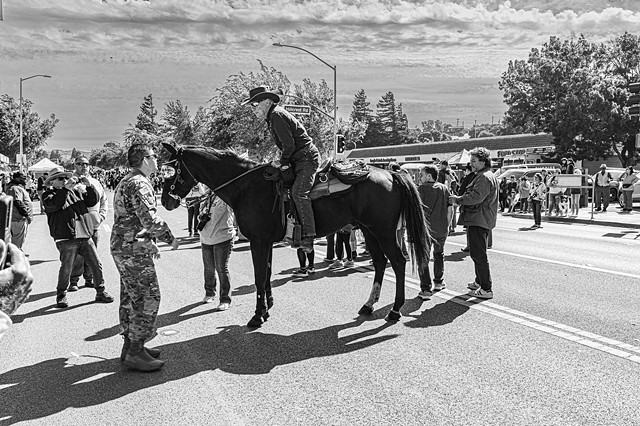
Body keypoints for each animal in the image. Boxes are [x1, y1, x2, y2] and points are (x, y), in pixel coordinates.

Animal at [160, 145, 430, 328]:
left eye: (171, 170)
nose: (165, 201)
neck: (246, 187)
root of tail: (392, 173)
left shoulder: (258, 240)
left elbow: (259, 277)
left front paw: (257, 316)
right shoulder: (265, 241)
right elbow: (266, 275)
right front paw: (267, 307)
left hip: (383, 231)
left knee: (398, 262)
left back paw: (395, 310)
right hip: (369, 230)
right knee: (381, 263)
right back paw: (368, 305)